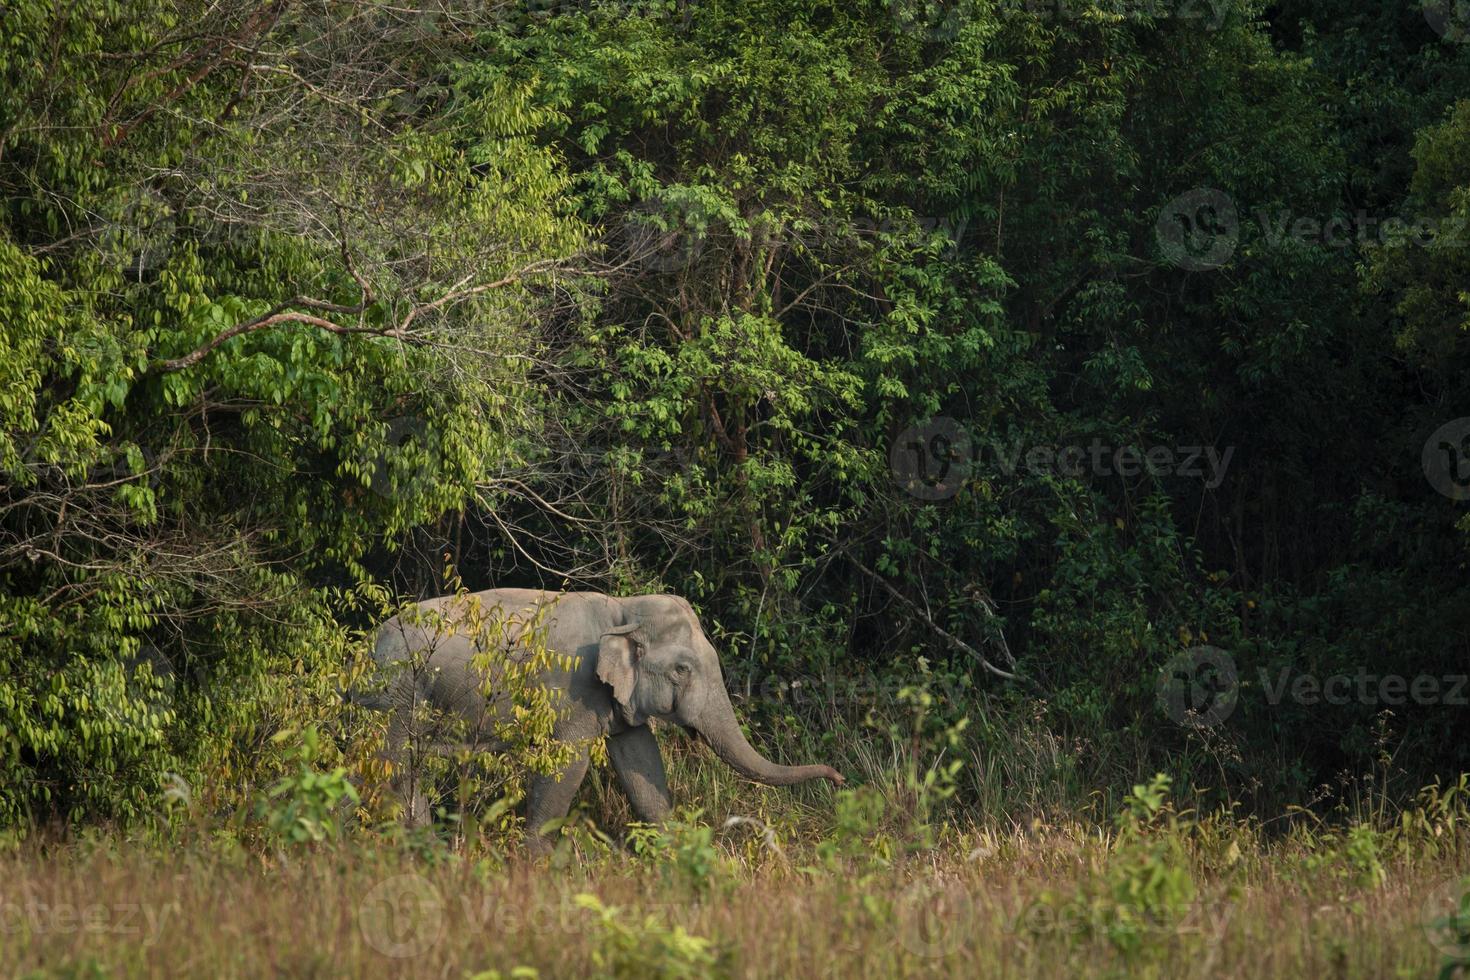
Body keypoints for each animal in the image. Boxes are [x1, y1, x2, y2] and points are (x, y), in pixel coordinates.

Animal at [366, 587, 846, 846]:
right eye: (682, 669)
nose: (840, 779)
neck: (622, 608)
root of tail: (366, 648)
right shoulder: (572, 691)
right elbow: (567, 765)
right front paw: (532, 865)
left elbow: (641, 762)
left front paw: (676, 856)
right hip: (396, 698)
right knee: (394, 769)